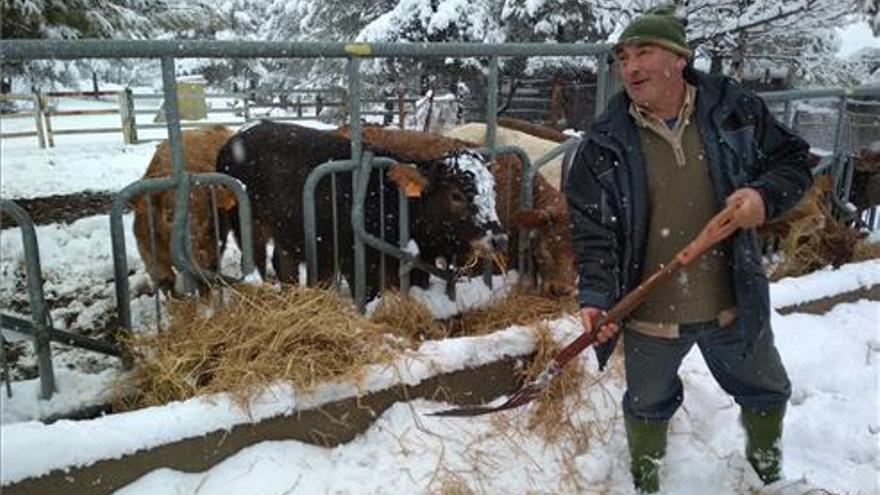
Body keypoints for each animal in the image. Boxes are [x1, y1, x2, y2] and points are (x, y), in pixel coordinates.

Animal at [131, 125, 237, 294]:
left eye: (207, 216)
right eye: (168, 216)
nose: (197, 256)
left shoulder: (214, 249)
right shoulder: (147, 252)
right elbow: (166, 282)